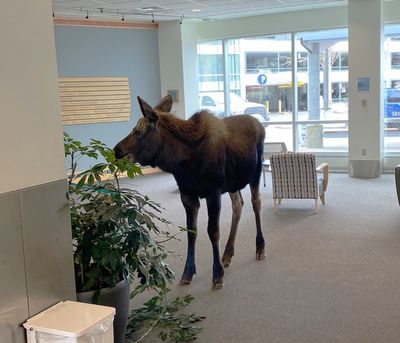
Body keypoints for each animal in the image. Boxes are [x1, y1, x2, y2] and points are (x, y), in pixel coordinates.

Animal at [114, 94, 266, 290]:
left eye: (137, 131)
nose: (116, 150)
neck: (182, 163)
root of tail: (259, 123)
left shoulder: (213, 192)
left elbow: (213, 231)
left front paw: (217, 275)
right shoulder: (187, 195)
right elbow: (191, 231)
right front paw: (187, 273)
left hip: (256, 172)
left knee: (256, 203)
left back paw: (260, 247)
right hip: (233, 183)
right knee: (238, 205)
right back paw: (227, 254)